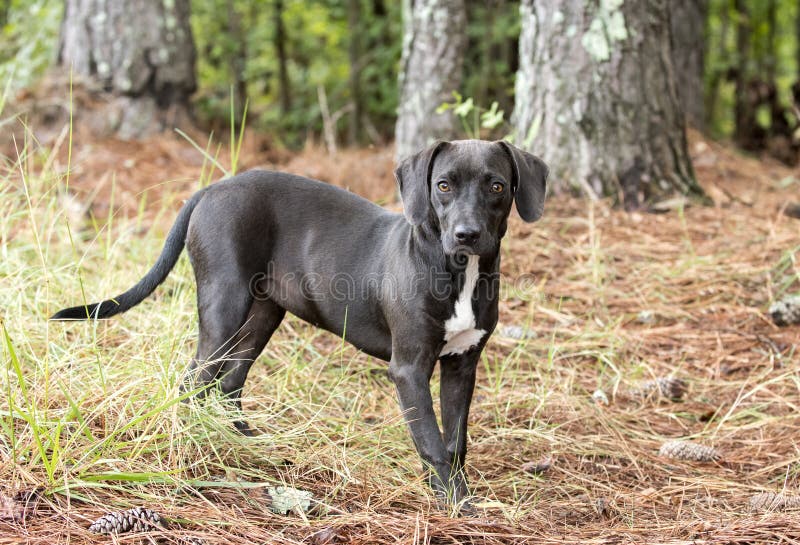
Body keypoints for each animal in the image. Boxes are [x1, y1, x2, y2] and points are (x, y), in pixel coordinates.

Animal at [53, 138, 548, 504]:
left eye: (497, 187)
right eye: (443, 186)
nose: (466, 234)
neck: (457, 270)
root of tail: (212, 189)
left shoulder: (462, 365)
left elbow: (455, 440)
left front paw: (453, 492)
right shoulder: (409, 368)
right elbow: (430, 438)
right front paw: (455, 502)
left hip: (263, 314)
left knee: (229, 383)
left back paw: (245, 442)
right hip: (224, 305)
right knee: (193, 381)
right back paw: (193, 449)